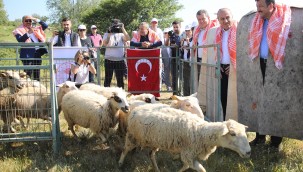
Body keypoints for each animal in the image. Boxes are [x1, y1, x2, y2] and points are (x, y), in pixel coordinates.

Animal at [119, 103, 252, 172]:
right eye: (233, 134)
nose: (248, 152)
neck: (201, 131)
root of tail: (136, 108)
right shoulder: (188, 154)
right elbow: (200, 169)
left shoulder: (191, 155)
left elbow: (186, 166)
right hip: (132, 136)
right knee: (125, 150)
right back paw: (120, 163)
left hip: (155, 141)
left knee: (151, 155)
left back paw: (156, 169)